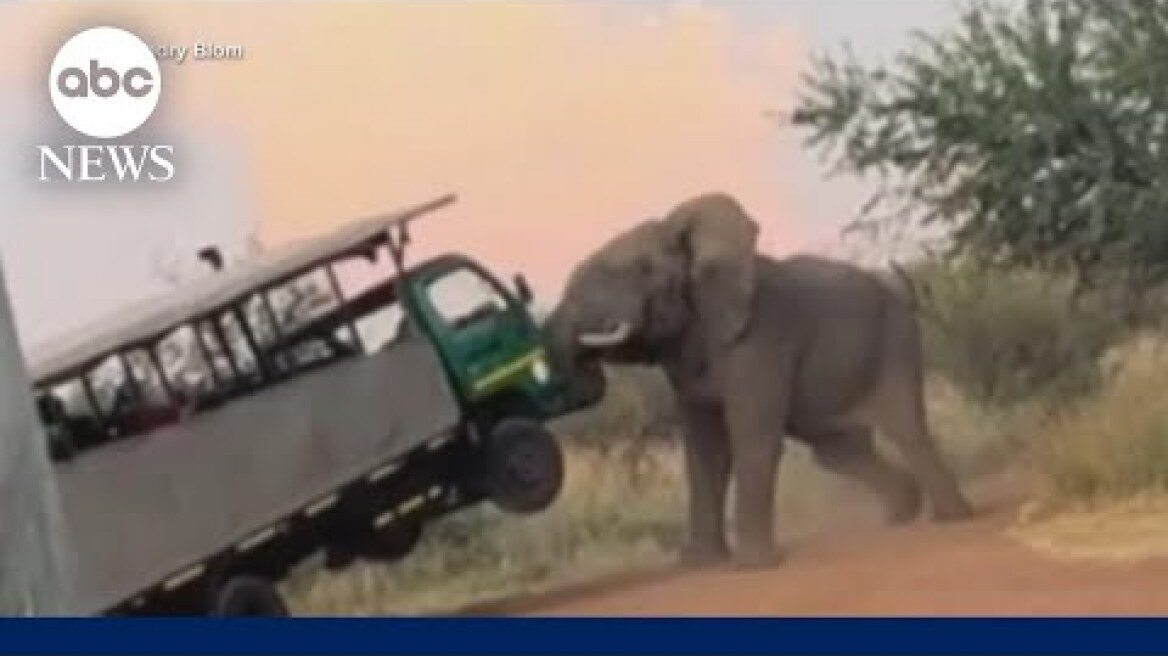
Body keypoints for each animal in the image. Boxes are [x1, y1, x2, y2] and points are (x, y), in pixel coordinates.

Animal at [543, 192, 974, 569]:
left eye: (643, 270)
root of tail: (899, 288)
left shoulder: (761, 337)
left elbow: (752, 440)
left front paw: (753, 566)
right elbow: (705, 453)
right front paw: (700, 564)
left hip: (896, 341)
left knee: (906, 429)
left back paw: (952, 517)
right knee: (837, 451)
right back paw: (900, 514)